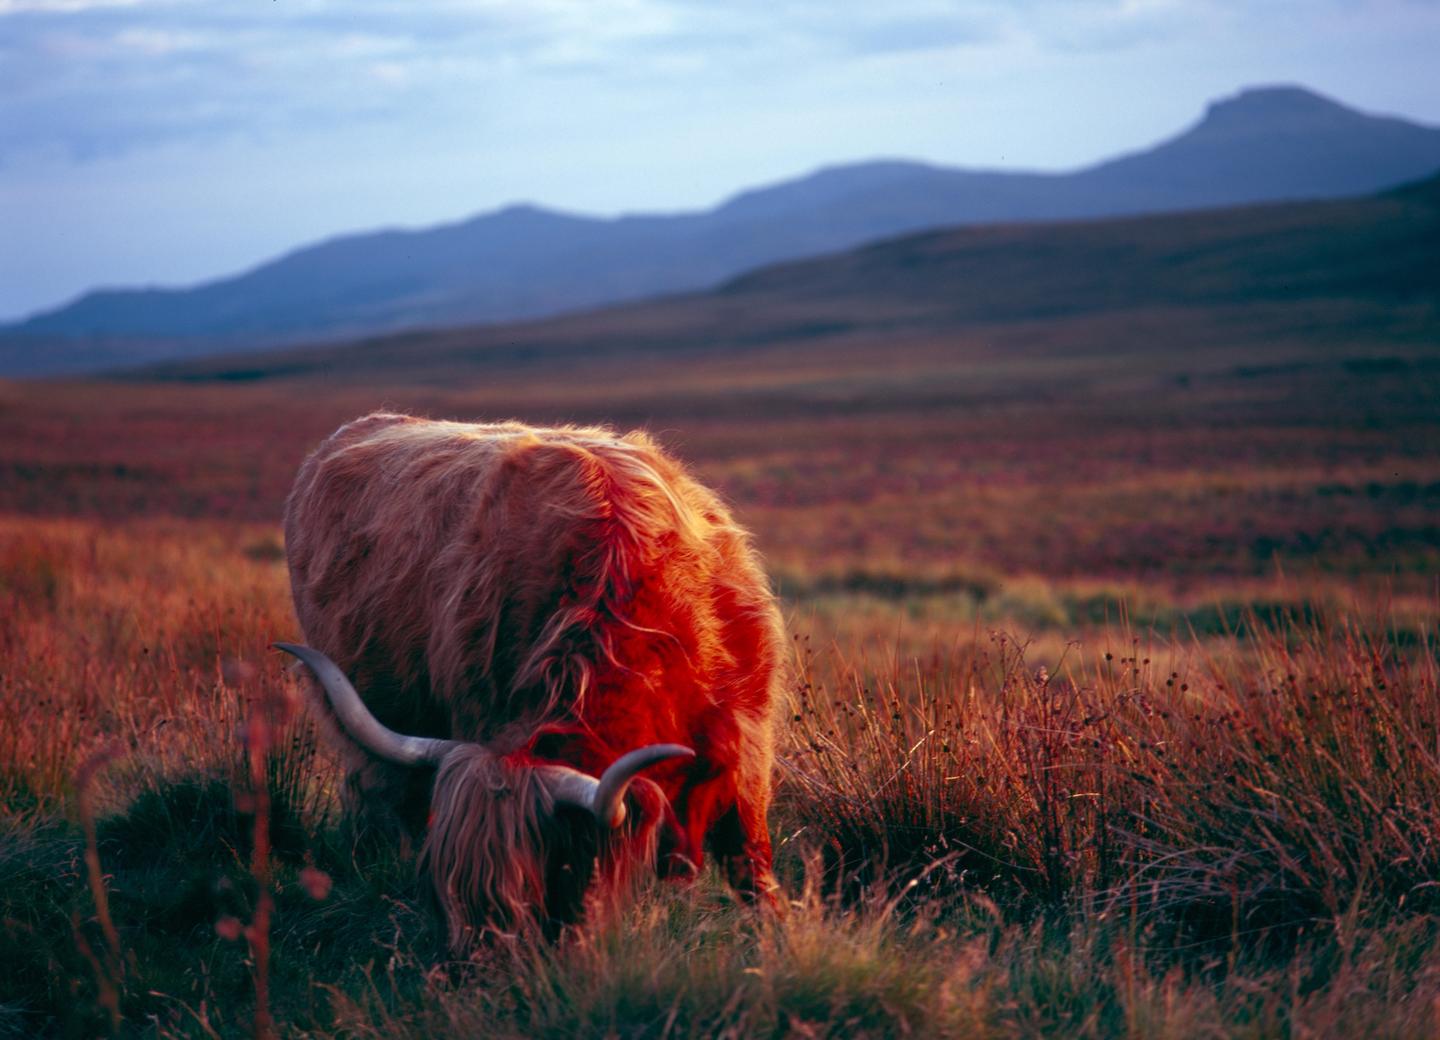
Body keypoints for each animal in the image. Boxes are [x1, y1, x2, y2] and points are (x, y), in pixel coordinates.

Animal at [277, 412, 784, 949]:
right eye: (443, 894)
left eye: (528, 888)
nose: (468, 963)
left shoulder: (744, 737)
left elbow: (750, 856)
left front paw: (778, 932)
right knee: (377, 800)